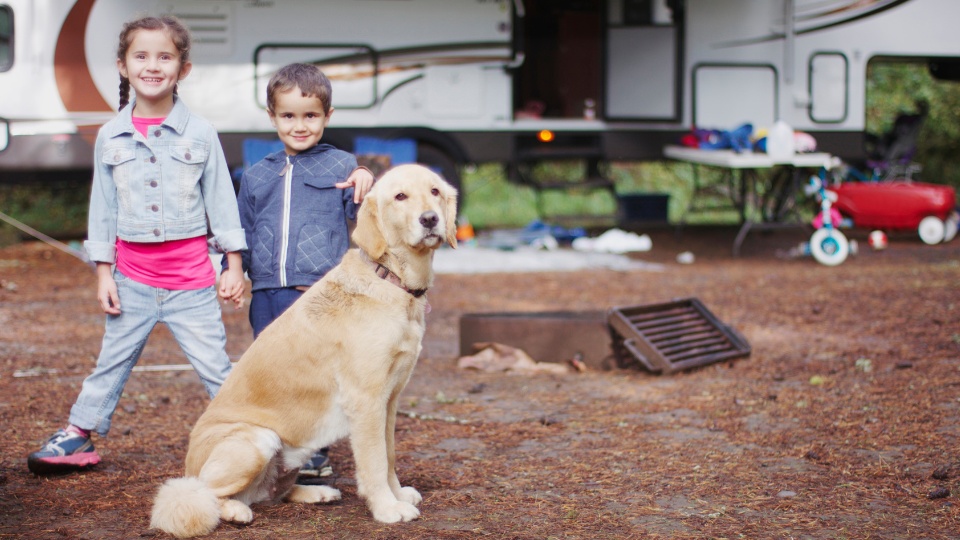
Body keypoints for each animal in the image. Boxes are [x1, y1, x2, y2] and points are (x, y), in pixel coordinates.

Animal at [150, 165, 458, 540]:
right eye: (400, 197)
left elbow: (389, 456)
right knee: (205, 495)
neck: (390, 277)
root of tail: (189, 466)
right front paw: (387, 508)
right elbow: (374, 462)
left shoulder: (390, 401)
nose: (430, 219)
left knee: (272, 494)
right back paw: (235, 510)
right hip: (256, 440)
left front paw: (398, 495)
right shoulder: (366, 401)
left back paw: (317, 493)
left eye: (435, 192)